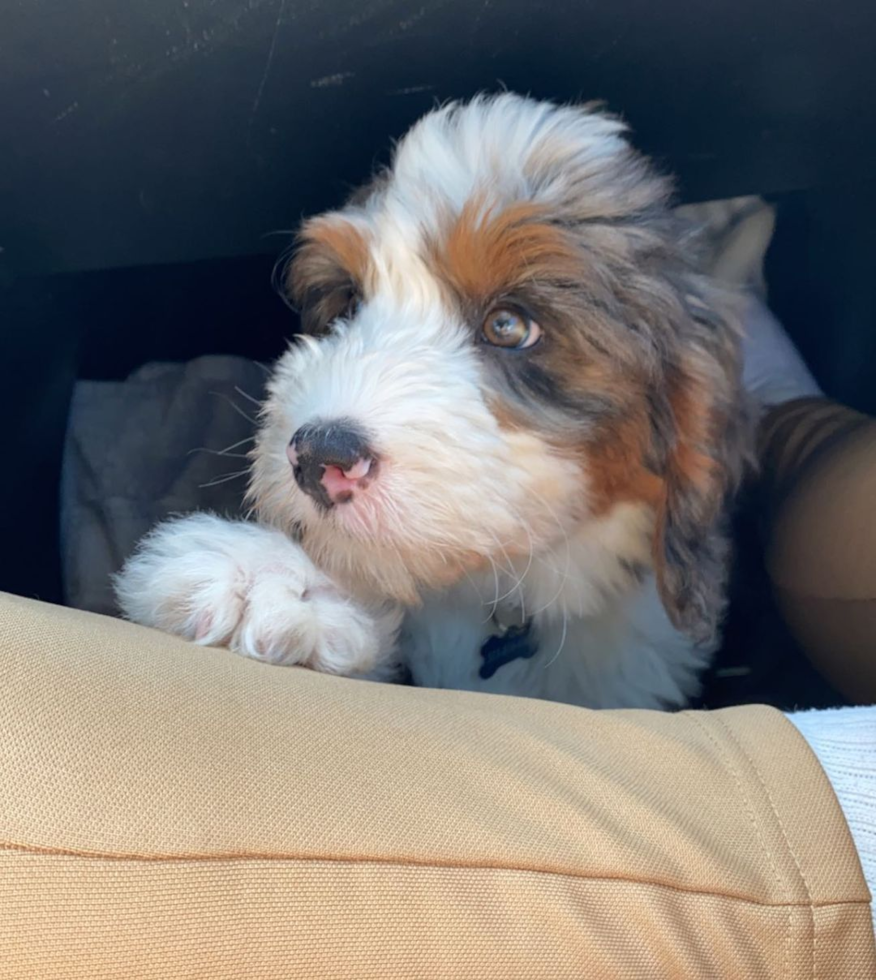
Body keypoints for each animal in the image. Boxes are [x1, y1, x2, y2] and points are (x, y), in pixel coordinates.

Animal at [114, 94, 744, 704]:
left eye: (510, 326)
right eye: (348, 303)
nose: (320, 456)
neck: (505, 600)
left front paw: (284, 583)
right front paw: (272, 575)